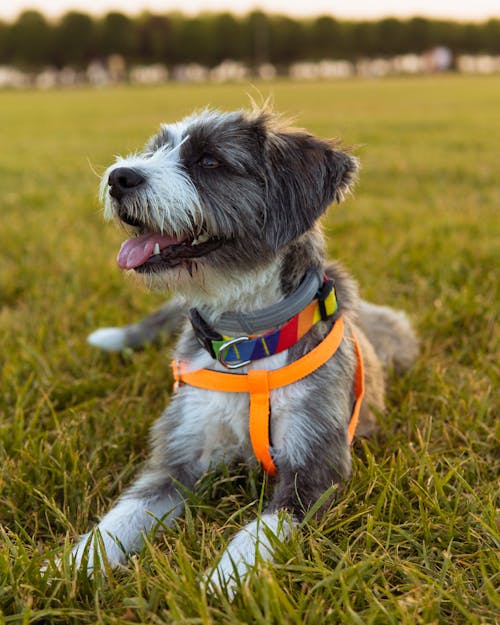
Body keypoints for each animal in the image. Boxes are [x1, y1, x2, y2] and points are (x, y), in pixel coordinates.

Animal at [74, 107, 418, 596]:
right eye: (156, 148)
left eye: (210, 161)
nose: (120, 177)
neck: (245, 344)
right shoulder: (178, 459)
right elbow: (119, 519)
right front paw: (65, 568)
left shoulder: (315, 470)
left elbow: (259, 532)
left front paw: (222, 583)